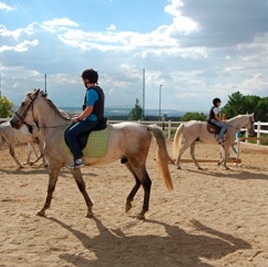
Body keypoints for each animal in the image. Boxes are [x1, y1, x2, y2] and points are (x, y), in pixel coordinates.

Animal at [9, 90, 174, 220]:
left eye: (23, 103)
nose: (12, 122)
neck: (55, 130)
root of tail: (145, 127)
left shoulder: (57, 165)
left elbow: (53, 187)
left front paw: (43, 210)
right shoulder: (70, 167)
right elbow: (81, 186)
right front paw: (89, 210)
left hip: (137, 161)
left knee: (146, 182)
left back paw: (142, 212)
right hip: (128, 161)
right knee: (138, 181)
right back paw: (128, 204)